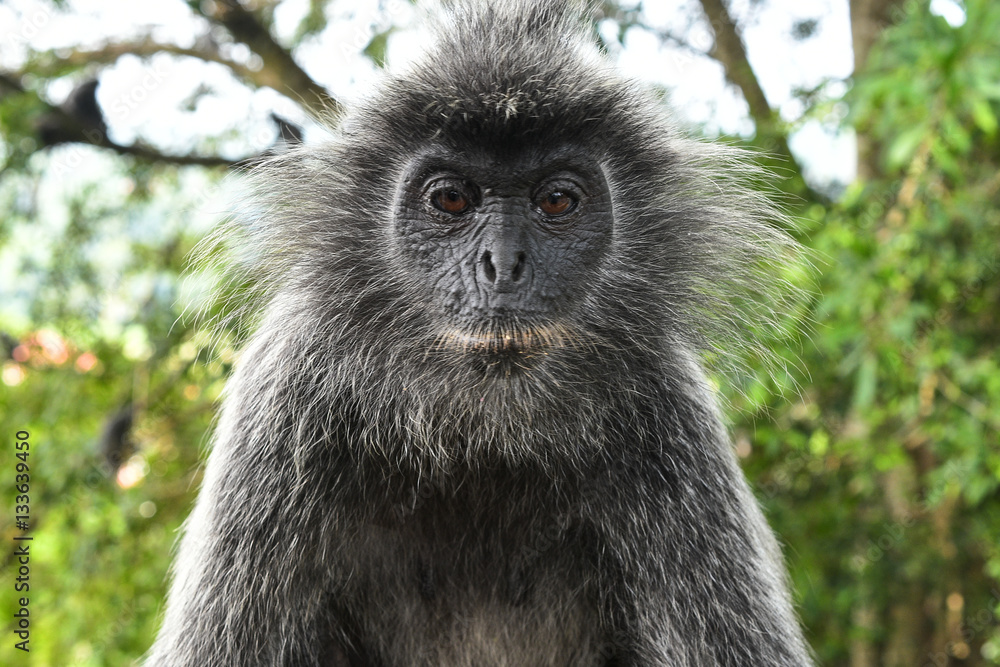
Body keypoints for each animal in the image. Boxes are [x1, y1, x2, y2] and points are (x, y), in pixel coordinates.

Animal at [146, 1, 814, 665]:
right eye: (450, 200)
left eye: (557, 201)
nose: (503, 265)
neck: (481, 435)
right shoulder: (284, 399)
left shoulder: (671, 419)